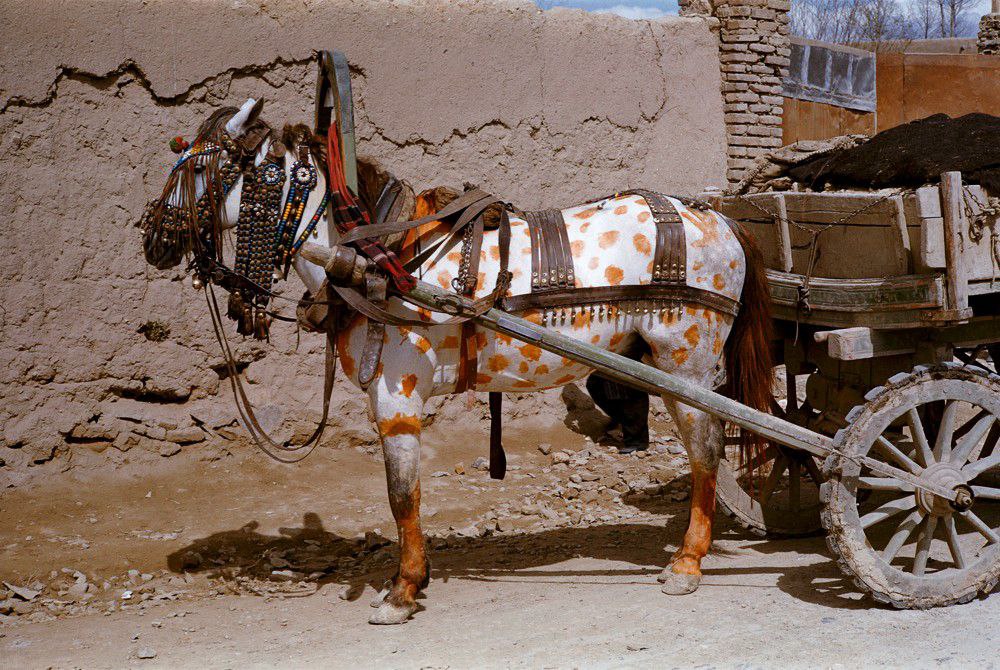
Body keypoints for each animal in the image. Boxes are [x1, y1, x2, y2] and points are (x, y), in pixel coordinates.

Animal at [140, 99, 774, 625]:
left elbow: (402, 496)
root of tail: (719, 217)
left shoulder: (395, 398)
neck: (381, 258)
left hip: (686, 367)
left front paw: (402, 591)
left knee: (707, 453)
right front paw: (411, 583)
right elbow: (404, 496)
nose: (153, 236)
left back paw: (688, 562)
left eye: (199, 170)